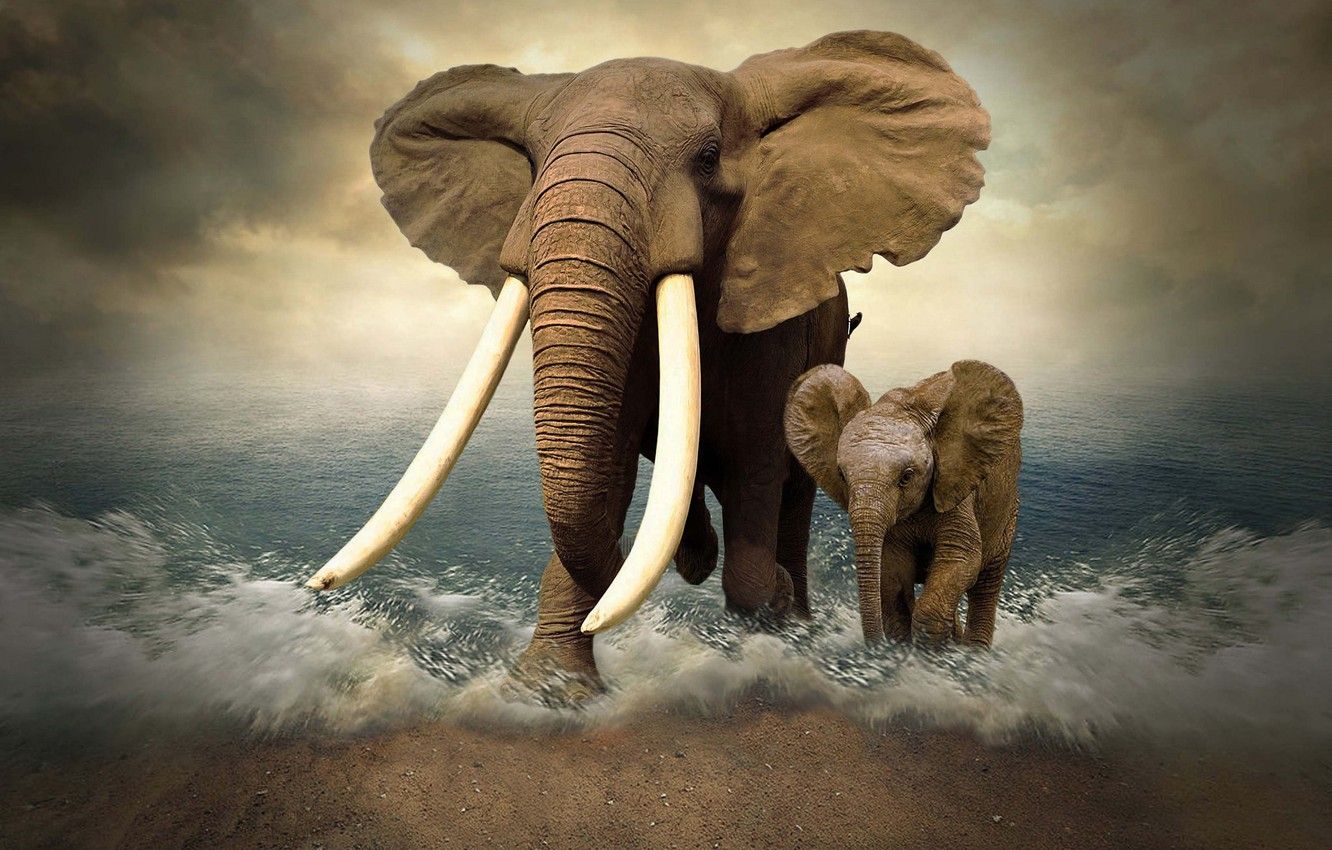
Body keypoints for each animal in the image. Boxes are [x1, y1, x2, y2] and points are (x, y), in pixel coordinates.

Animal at [302, 30, 990, 695]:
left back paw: (792, 616)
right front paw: (547, 690)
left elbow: (757, 463)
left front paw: (764, 632)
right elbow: (604, 464)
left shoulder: (775, 321)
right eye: (532, 161)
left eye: (708, 158)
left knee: (791, 494)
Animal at [783, 361, 1022, 646]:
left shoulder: (955, 488)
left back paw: (972, 653)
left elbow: (961, 557)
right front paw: (903, 651)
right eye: (842, 475)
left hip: (1007, 511)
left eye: (906, 477)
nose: (875, 647)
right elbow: (894, 573)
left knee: (987, 583)